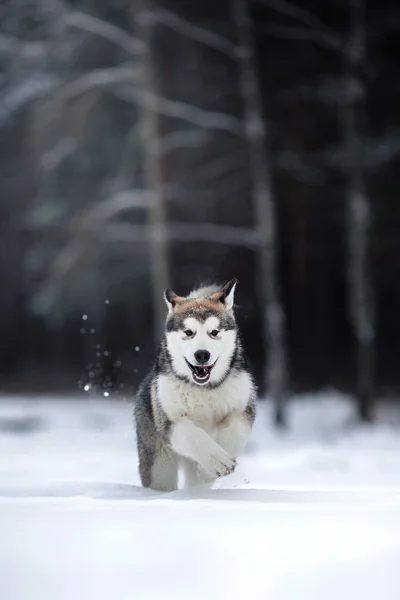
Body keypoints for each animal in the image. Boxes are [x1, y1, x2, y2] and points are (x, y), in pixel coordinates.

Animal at [134, 278, 258, 490]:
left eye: (214, 332)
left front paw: (208, 470)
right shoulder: (171, 421)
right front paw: (217, 461)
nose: (201, 355)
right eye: (188, 332)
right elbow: (194, 436)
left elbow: (236, 432)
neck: (204, 389)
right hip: (159, 463)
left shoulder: (243, 410)